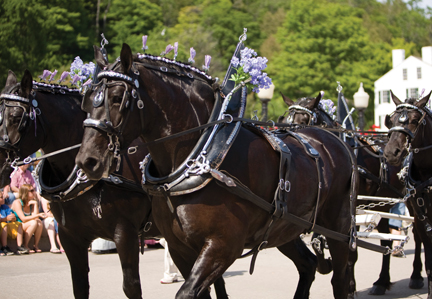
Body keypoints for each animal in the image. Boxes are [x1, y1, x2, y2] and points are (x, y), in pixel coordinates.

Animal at [76, 42, 360, 299]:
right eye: (86, 101)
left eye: (117, 98)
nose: (87, 161)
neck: (202, 155)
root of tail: (337, 140)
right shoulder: (179, 248)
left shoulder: (223, 245)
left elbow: (187, 293)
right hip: (284, 228)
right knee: (308, 265)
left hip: (339, 226)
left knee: (341, 279)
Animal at [278, 94, 424, 296]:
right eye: (285, 120)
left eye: (303, 121)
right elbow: (318, 241)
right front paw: (327, 266)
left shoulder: (348, 208)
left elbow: (349, 251)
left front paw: (349, 287)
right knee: (386, 240)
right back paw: (382, 281)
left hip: (410, 200)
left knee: (417, 235)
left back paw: (416, 276)